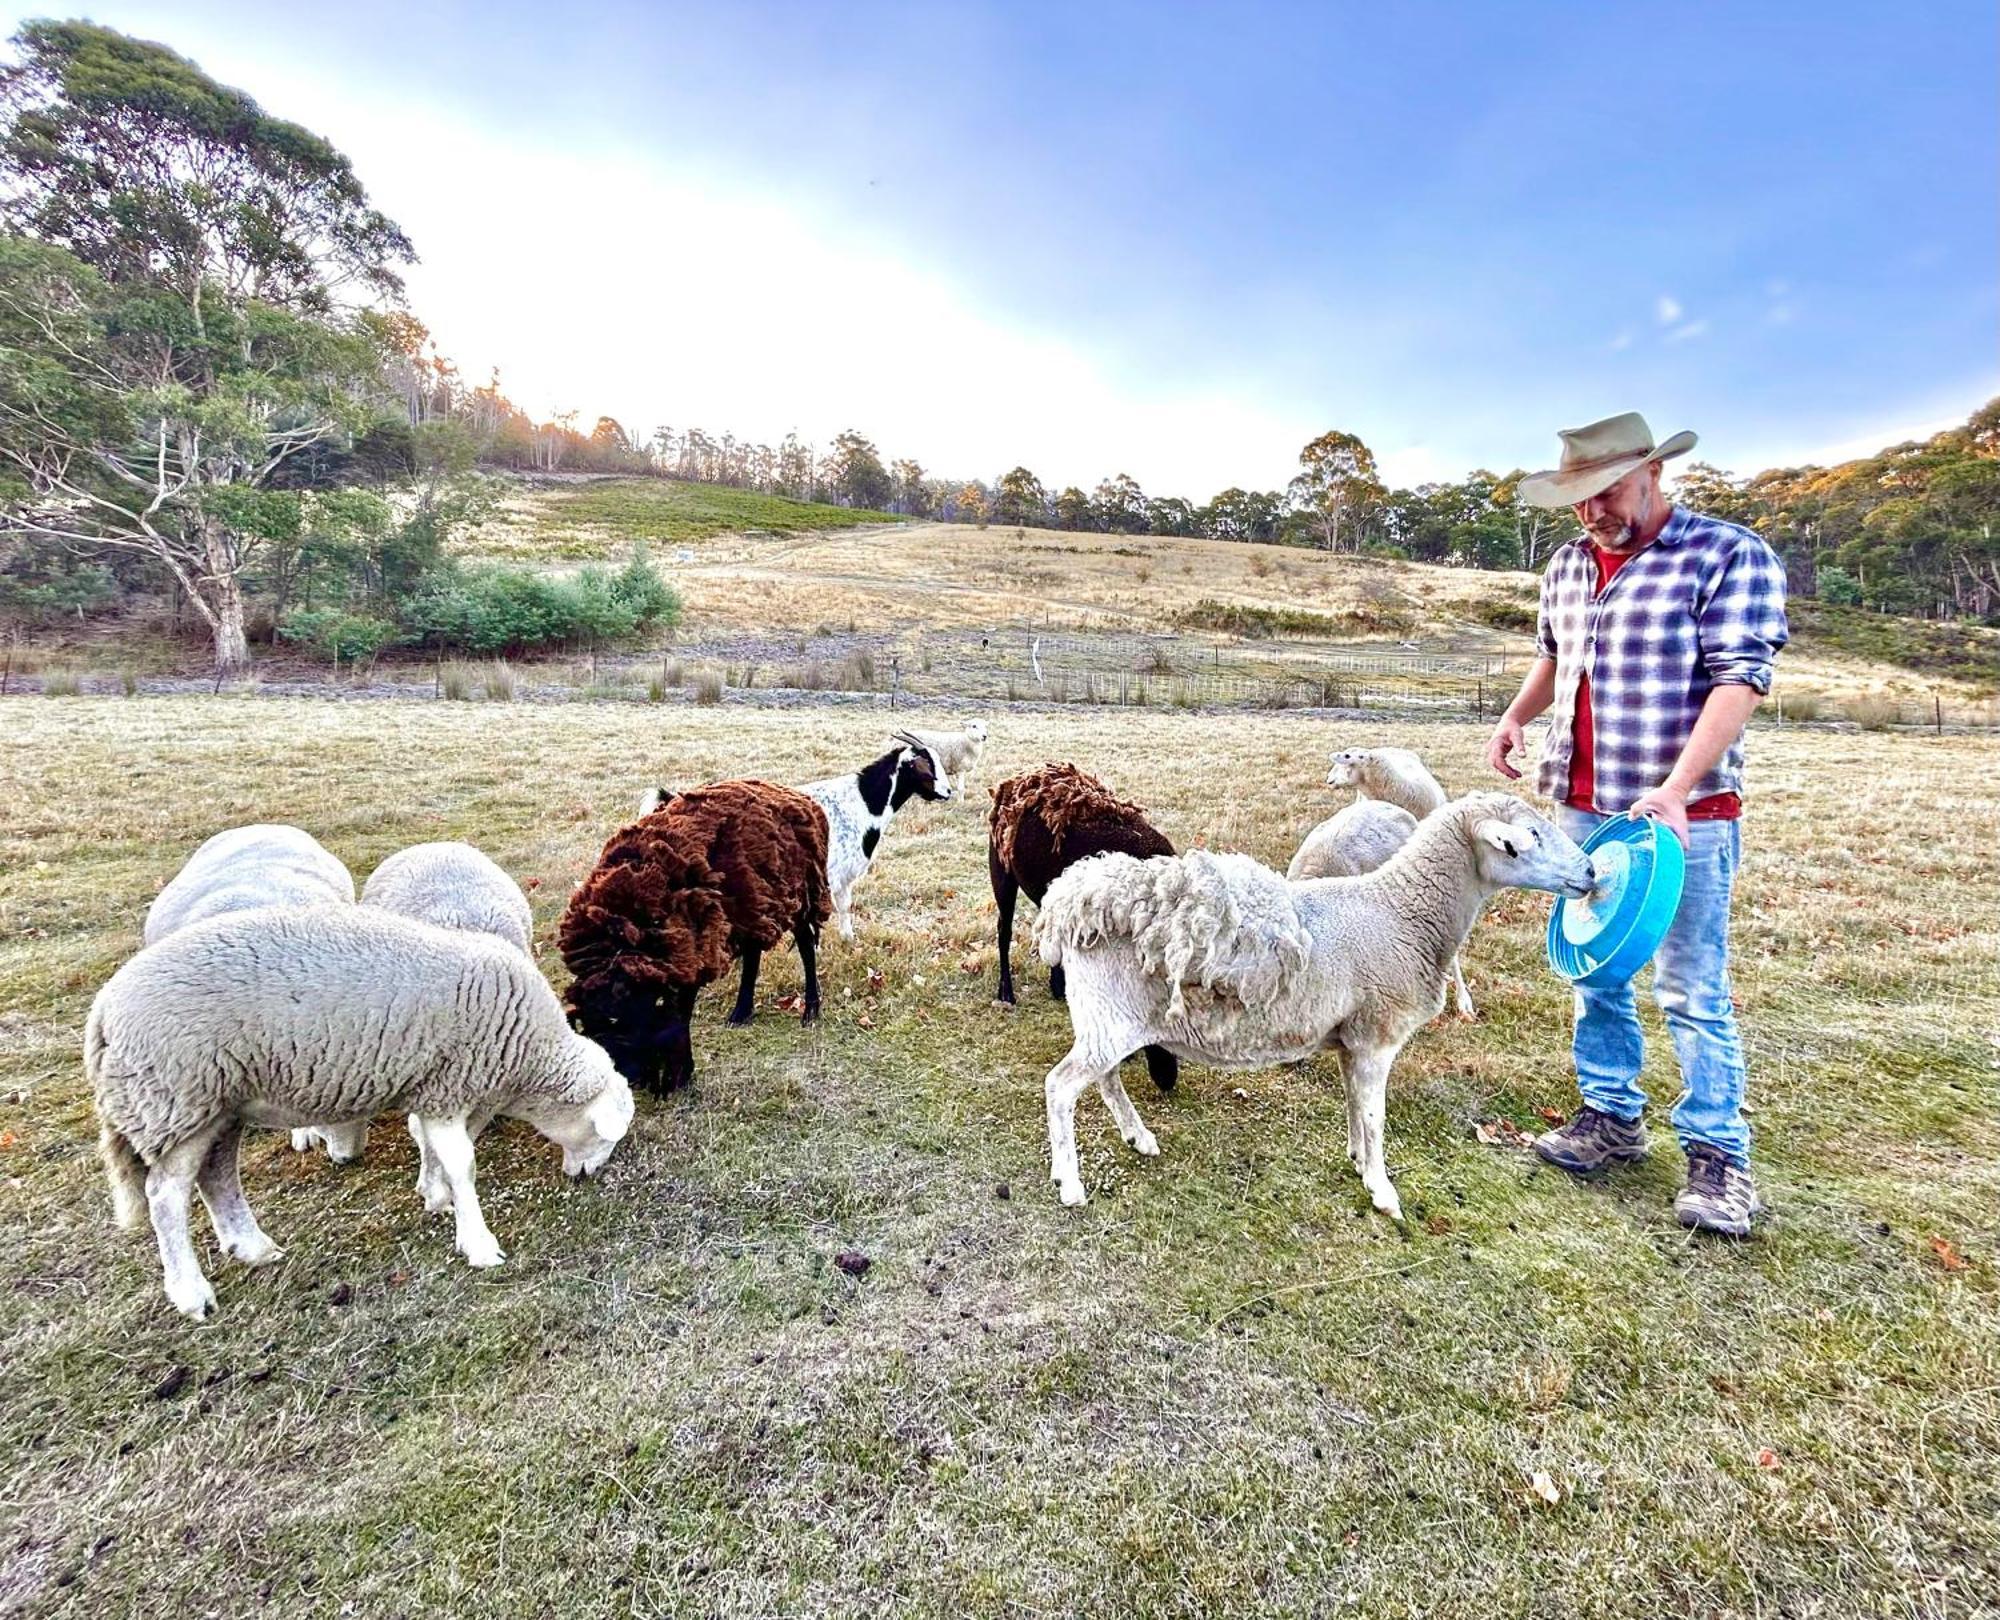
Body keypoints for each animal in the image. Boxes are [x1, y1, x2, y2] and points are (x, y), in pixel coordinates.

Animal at [556, 780, 828, 1096]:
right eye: (591, 1029)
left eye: (619, 1019)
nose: (630, 1079)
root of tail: (797, 796)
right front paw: (676, 1075)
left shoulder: (689, 954)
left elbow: (679, 1016)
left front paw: (677, 1079)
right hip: (750, 905)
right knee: (752, 953)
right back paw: (741, 1012)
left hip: (800, 895)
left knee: (806, 947)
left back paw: (810, 1009)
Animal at [796, 728, 952, 940]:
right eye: (926, 763)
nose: (948, 791)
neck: (864, 801)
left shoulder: (843, 876)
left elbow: (844, 906)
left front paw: (848, 939)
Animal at [992, 764, 1176, 1096]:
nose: (1167, 1081)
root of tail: (1016, 779)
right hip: (1001, 873)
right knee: (1004, 930)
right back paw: (1007, 993)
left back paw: (1055, 986)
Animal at [1032, 788, 1592, 1216]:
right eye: (1527, 839)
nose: (1590, 872)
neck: (1405, 913)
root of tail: (1075, 902)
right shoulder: (1378, 1036)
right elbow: (1376, 1115)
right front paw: (1383, 1192)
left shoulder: (1352, 1038)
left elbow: (1354, 1104)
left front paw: (1359, 1160)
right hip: (1111, 1016)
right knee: (1061, 1086)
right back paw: (1070, 1183)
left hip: (1110, 1017)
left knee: (1105, 1079)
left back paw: (1138, 1137)